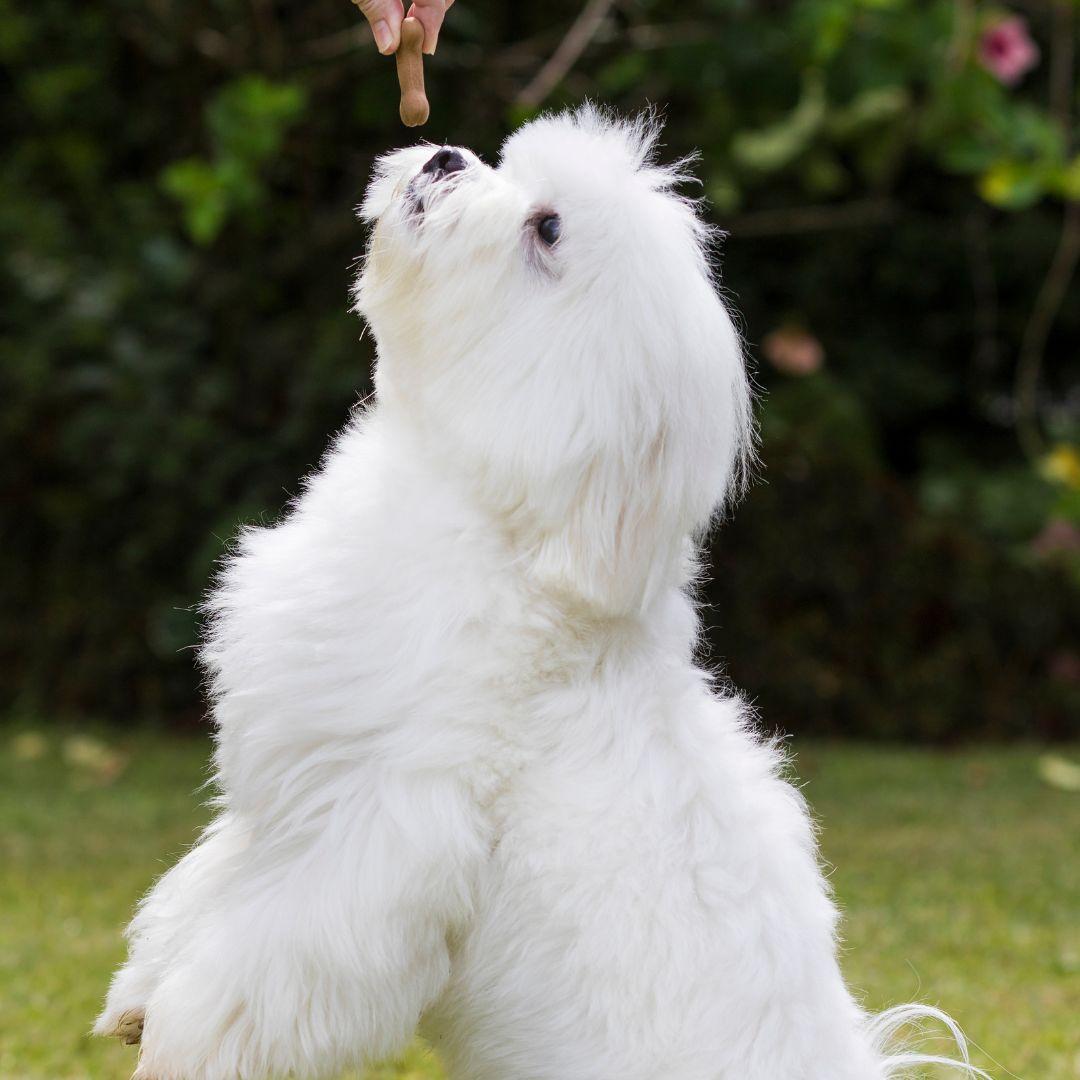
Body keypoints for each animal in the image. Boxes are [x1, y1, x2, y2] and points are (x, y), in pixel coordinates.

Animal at [97, 109, 984, 1080]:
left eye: (547, 229)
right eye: (505, 164)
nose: (445, 157)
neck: (496, 522)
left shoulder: (371, 838)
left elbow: (256, 967)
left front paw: (180, 1046)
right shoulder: (289, 799)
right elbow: (206, 887)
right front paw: (140, 995)